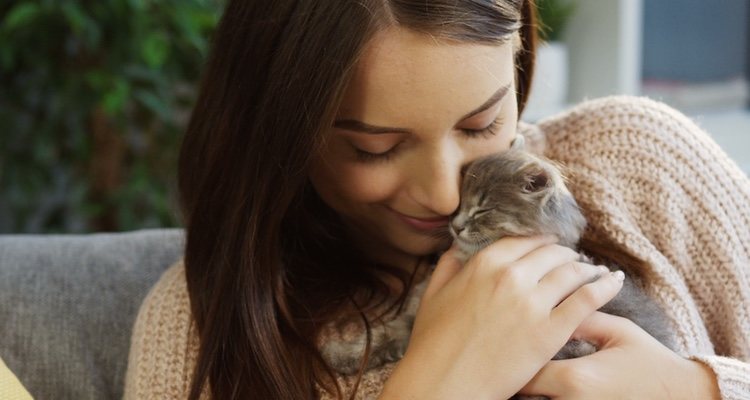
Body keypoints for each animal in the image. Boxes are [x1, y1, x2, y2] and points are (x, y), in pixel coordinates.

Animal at [320, 136, 680, 396]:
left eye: (483, 209)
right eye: (459, 203)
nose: (455, 225)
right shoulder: (413, 317)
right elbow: (382, 335)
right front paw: (341, 353)